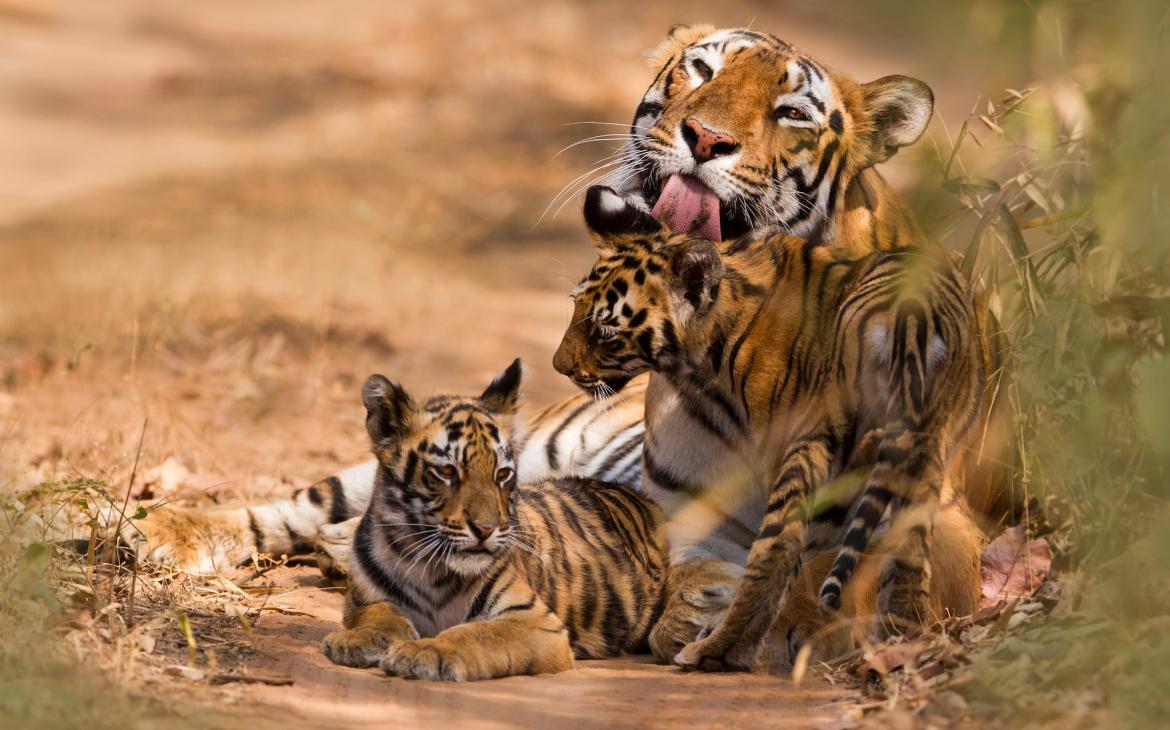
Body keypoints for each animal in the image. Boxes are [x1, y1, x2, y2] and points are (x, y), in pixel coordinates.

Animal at [552, 189, 992, 673]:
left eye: (606, 331)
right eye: (574, 307)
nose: (559, 366)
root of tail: (909, 320)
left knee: (782, 554)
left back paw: (722, 649)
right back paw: (902, 634)